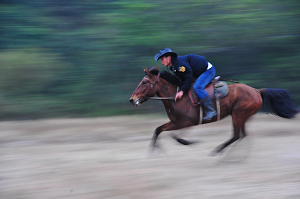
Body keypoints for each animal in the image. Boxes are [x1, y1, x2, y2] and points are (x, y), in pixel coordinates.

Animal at [128, 67, 298, 155]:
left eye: (144, 82)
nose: (132, 99)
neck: (176, 96)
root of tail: (256, 91)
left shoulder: (186, 122)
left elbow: (175, 136)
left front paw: (190, 142)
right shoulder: (176, 122)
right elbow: (159, 130)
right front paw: (155, 150)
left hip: (238, 114)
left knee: (236, 135)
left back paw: (218, 152)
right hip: (242, 116)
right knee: (243, 135)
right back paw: (235, 157)